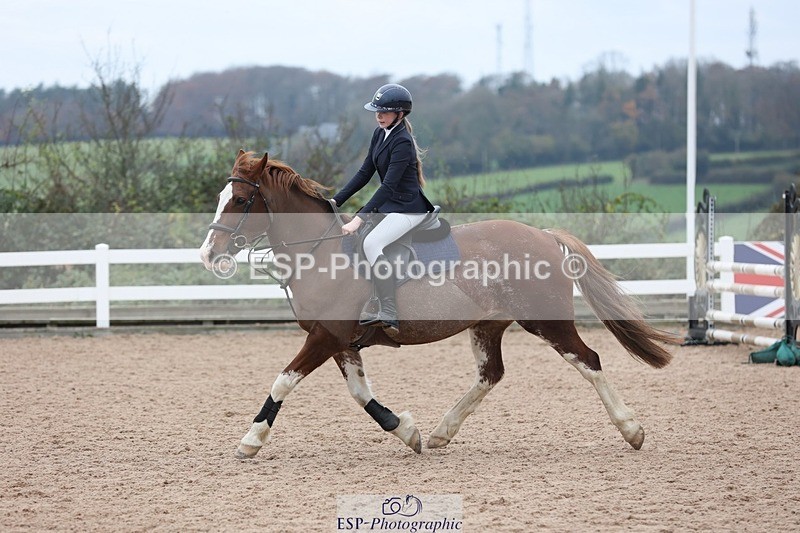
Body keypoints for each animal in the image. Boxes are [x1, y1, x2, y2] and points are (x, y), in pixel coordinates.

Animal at [200, 150, 678, 458]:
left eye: (240, 200)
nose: (209, 254)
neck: (320, 251)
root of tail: (542, 235)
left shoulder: (326, 336)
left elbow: (283, 382)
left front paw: (251, 441)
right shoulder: (341, 342)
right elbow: (360, 394)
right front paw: (406, 431)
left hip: (547, 321)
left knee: (588, 360)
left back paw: (632, 430)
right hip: (488, 325)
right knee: (490, 375)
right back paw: (441, 433)